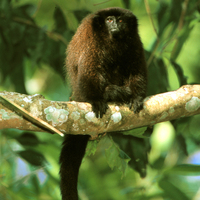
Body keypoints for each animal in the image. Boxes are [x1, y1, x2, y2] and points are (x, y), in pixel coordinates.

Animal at [59, 7, 147, 200]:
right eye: (109, 20)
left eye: (121, 21)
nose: (115, 25)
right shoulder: (92, 39)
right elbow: (89, 67)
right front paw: (97, 99)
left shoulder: (134, 40)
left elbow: (136, 68)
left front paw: (136, 97)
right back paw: (110, 94)